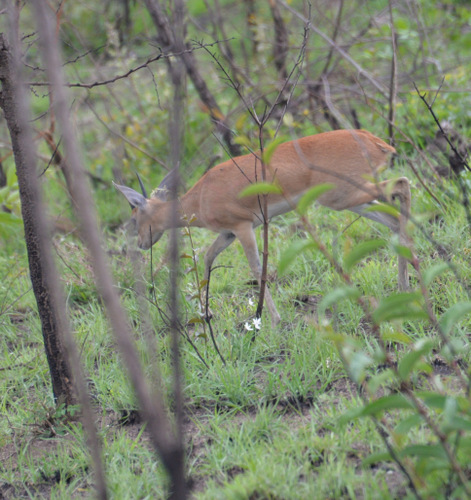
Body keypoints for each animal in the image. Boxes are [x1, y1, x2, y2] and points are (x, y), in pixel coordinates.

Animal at [116, 128, 412, 328]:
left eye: (134, 217)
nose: (140, 244)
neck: (200, 197)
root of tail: (375, 141)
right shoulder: (227, 233)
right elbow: (207, 258)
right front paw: (206, 312)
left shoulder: (243, 227)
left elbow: (257, 268)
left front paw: (273, 319)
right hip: (353, 201)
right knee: (395, 218)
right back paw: (404, 285)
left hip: (345, 196)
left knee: (402, 183)